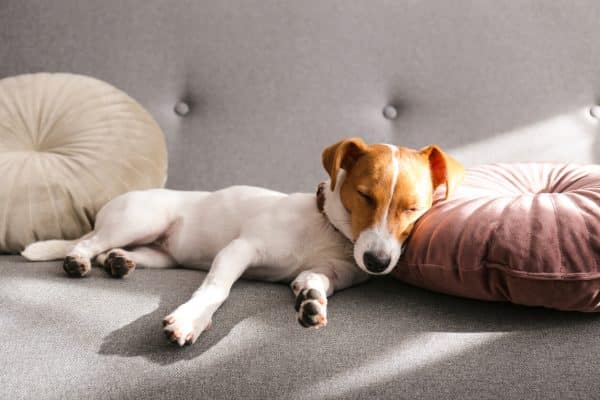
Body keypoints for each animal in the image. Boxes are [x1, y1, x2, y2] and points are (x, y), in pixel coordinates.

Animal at [22, 139, 464, 346]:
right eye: (365, 195)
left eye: (414, 208)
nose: (377, 261)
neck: (328, 230)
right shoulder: (239, 250)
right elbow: (216, 289)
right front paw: (190, 319)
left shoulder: (331, 271)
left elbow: (314, 281)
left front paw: (311, 301)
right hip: (139, 220)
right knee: (89, 241)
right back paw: (79, 260)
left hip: (159, 254)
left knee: (116, 253)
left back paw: (118, 262)